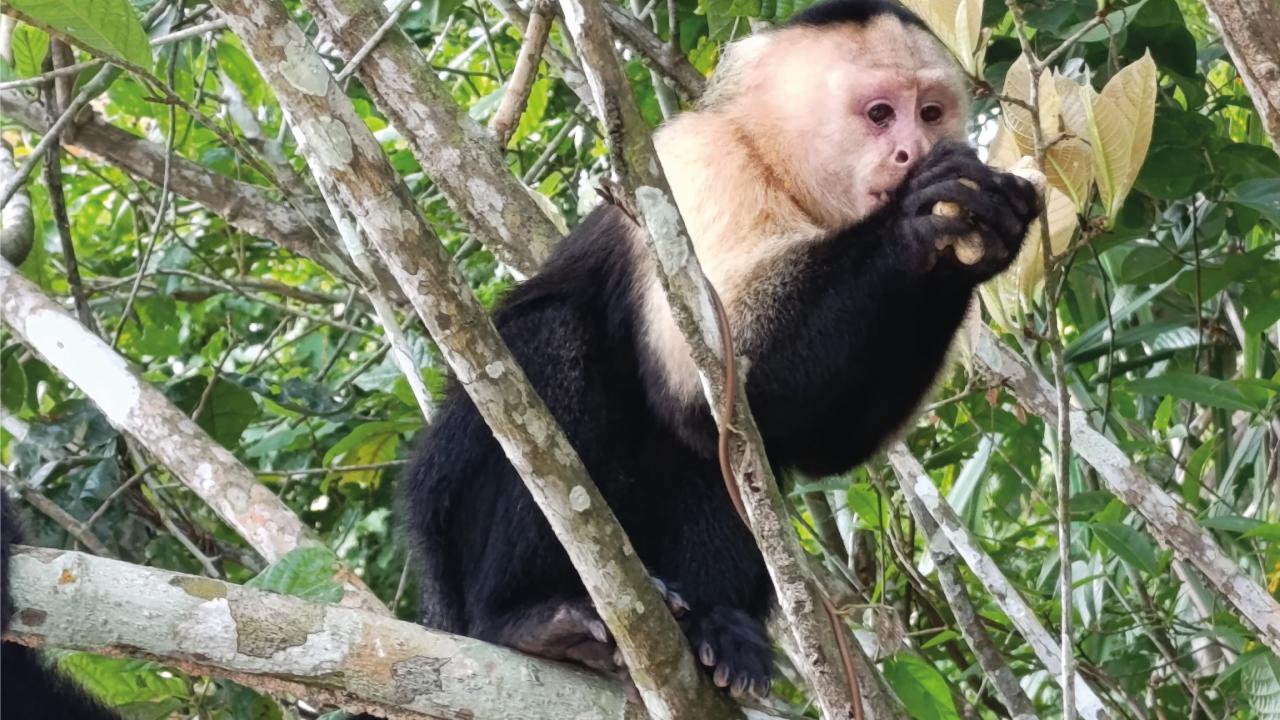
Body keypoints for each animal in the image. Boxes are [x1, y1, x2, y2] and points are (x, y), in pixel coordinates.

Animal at [403, 0, 1040, 698]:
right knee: (554, 342)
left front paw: (985, 233)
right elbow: (706, 376)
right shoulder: (696, 166)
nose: (913, 151)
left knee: (723, 454)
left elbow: (805, 440)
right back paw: (528, 617)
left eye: (929, 113)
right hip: (448, 548)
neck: (779, 172)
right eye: (879, 115)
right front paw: (918, 222)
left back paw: (720, 627)